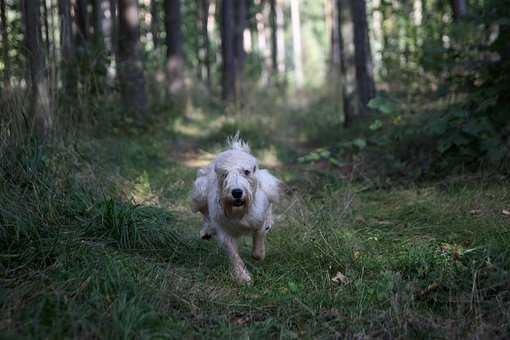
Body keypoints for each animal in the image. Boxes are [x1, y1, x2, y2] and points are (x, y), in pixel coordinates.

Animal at [191, 134, 280, 282]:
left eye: (246, 172)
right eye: (224, 173)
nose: (237, 192)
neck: (239, 211)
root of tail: (235, 149)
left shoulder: (260, 218)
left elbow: (260, 235)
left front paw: (259, 254)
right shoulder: (224, 230)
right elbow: (233, 254)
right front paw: (243, 276)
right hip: (200, 193)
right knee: (205, 213)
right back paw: (207, 230)